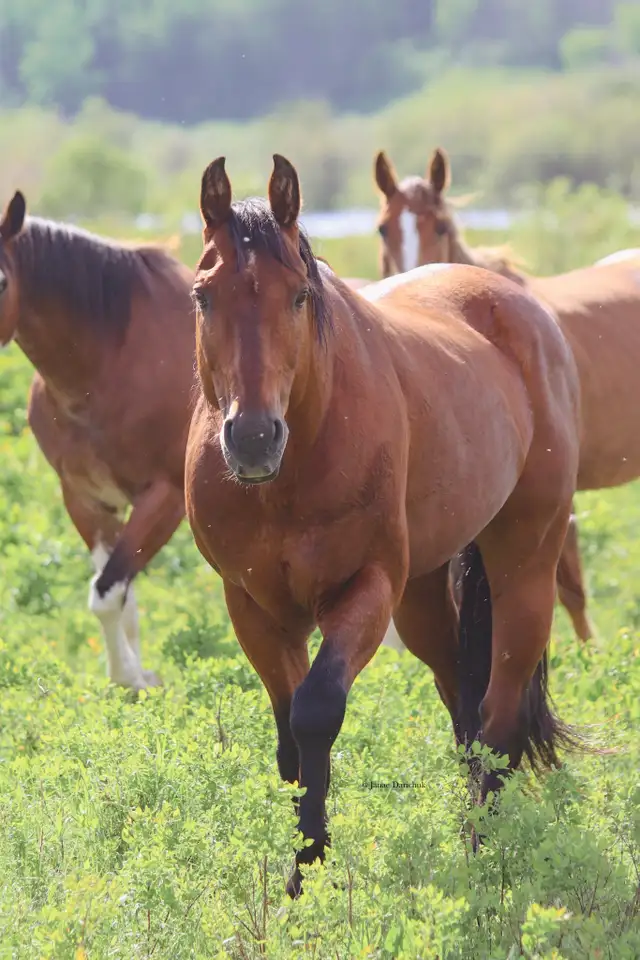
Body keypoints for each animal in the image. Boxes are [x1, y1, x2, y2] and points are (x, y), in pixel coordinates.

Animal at [0, 193, 196, 690]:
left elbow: (108, 590)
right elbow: (120, 593)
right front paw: (135, 676)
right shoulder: (88, 499)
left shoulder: (164, 496)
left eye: (1, 280)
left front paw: (131, 677)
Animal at [185, 153, 581, 897]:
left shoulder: (364, 589)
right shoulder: (252, 605)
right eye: (202, 296)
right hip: (424, 595)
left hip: (526, 564)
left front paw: (308, 871)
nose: (252, 439)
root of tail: (516, 306)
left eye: (298, 296)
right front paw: (299, 870)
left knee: (499, 719)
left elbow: (315, 711)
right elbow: (288, 738)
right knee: (464, 710)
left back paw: (486, 856)